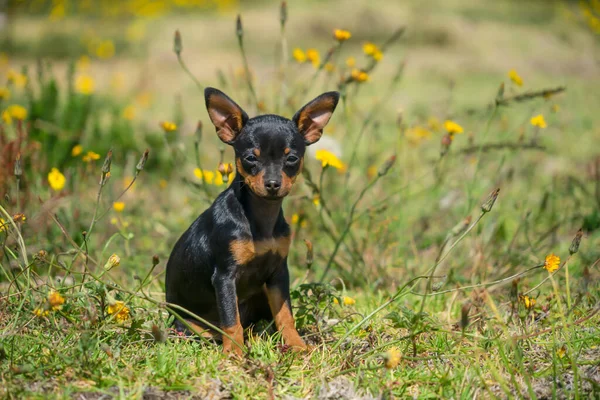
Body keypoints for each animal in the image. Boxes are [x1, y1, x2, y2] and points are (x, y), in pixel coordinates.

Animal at [166, 88, 340, 356]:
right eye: (250, 158)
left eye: (292, 158)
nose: (272, 184)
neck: (261, 219)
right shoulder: (224, 277)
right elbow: (231, 320)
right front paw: (234, 354)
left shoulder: (278, 274)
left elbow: (285, 315)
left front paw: (297, 345)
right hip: (187, 323)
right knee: (212, 330)